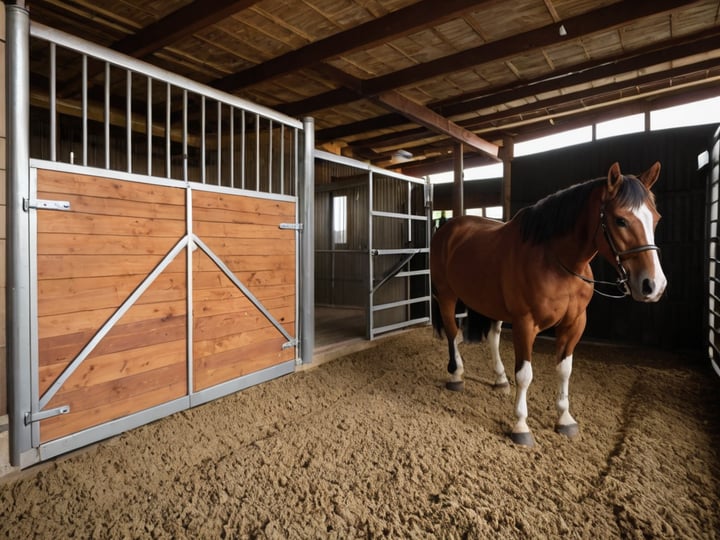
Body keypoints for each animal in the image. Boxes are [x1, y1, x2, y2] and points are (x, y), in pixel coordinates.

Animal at [430, 162, 666, 446]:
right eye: (620, 220)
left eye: (656, 218)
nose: (653, 285)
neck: (557, 262)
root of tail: (447, 229)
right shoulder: (525, 323)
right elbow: (525, 374)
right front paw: (521, 426)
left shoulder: (574, 324)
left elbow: (565, 370)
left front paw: (565, 419)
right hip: (447, 296)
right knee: (453, 333)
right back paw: (456, 375)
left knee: (493, 337)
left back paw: (500, 380)